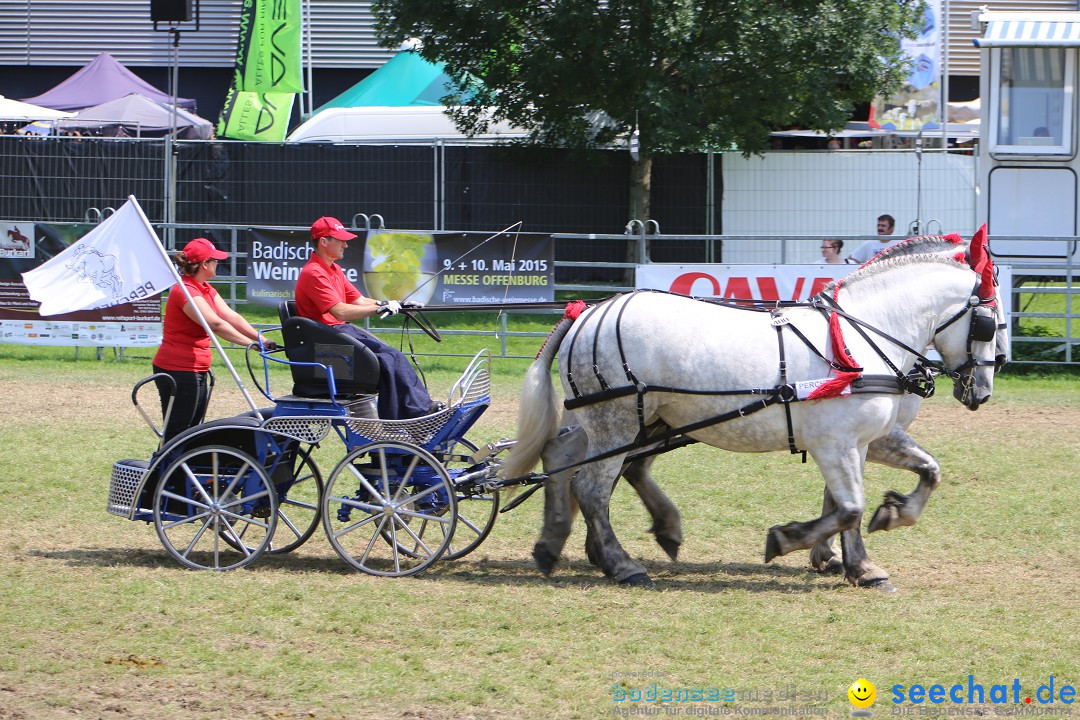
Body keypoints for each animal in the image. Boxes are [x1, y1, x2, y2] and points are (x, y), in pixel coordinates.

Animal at [503, 227, 1002, 587]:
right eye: (989, 323)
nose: (981, 391)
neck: (863, 335)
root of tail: (584, 313)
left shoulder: (859, 441)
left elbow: (916, 476)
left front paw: (859, 555)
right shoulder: (836, 443)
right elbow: (849, 507)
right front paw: (789, 540)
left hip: (619, 421)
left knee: (566, 457)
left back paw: (557, 544)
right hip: (618, 421)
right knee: (592, 486)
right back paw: (621, 563)